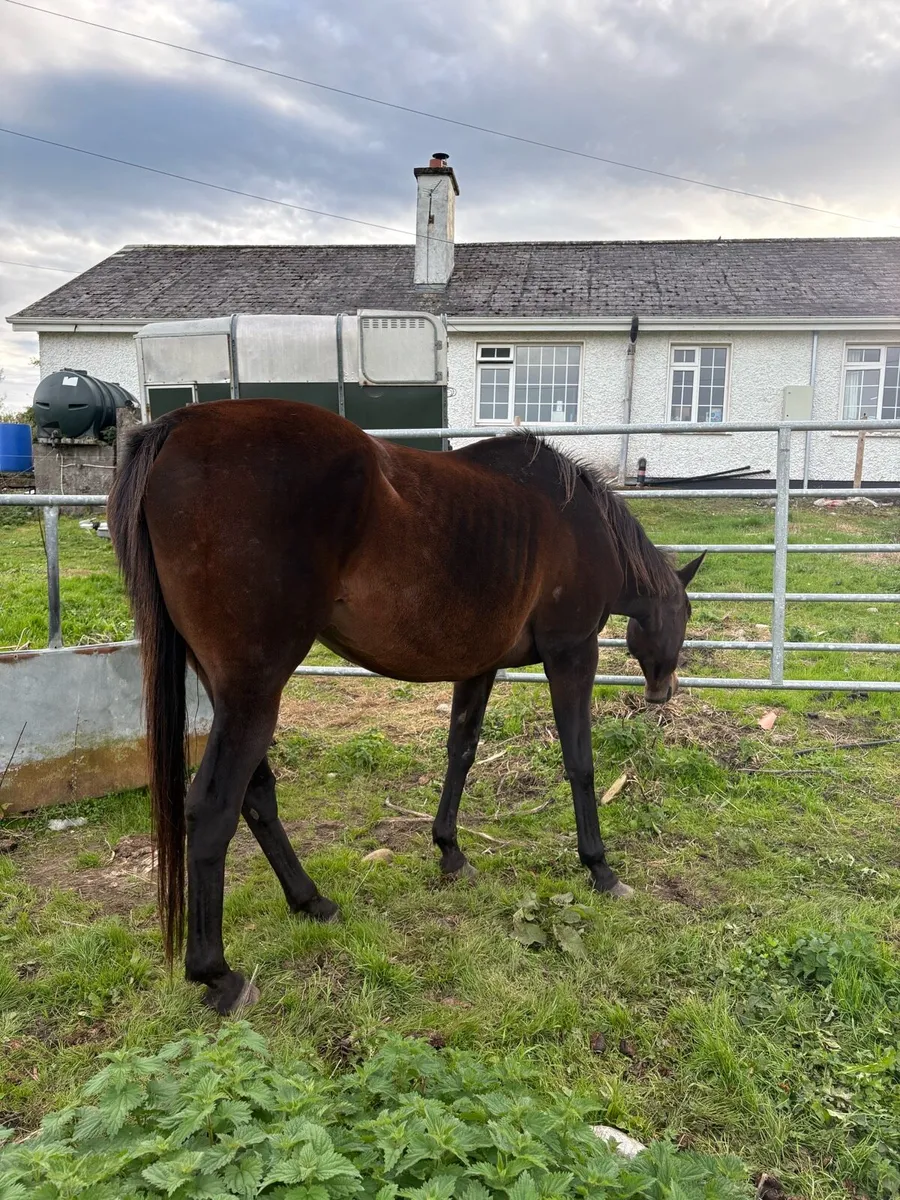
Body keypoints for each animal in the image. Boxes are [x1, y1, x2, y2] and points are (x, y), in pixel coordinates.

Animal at [107, 399, 704, 1014]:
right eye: (684, 613)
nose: (663, 692)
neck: (582, 522)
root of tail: (178, 427)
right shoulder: (572, 653)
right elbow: (580, 763)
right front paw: (600, 868)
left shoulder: (479, 666)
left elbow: (461, 751)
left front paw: (450, 852)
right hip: (253, 692)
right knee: (213, 808)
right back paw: (218, 975)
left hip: (230, 691)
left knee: (256, 796)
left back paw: (312, 901)